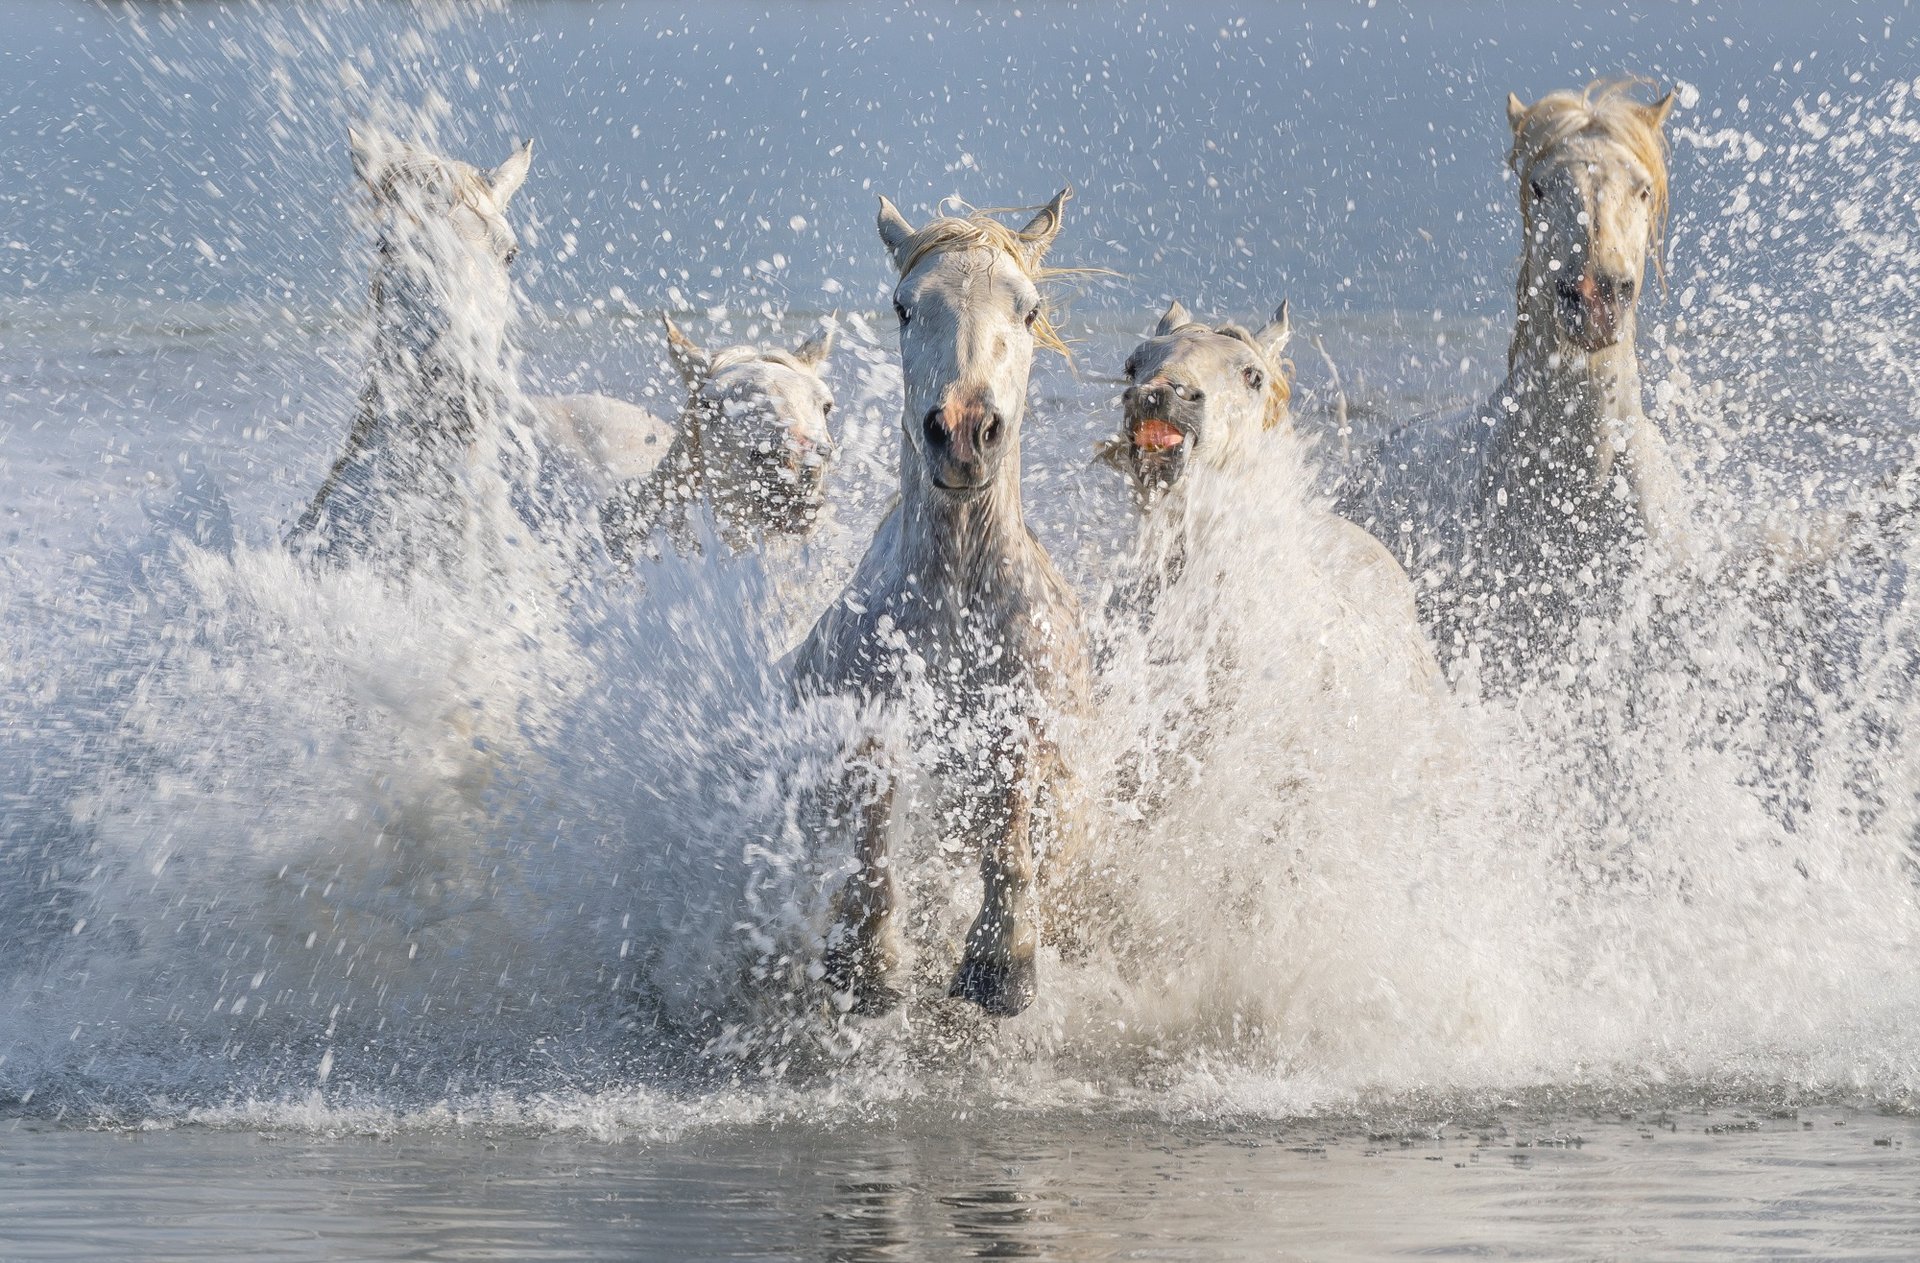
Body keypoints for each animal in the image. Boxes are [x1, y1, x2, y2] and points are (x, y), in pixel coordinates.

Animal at [790, 190, 1090, 1018]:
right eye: (904, 306)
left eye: (1028, 308)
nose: (961, 433)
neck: (957, 600)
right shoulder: (869, 719)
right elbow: (871, 836)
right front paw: (868, 962)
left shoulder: (1020, 720)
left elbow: (1008, 828)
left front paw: (1002, 961)